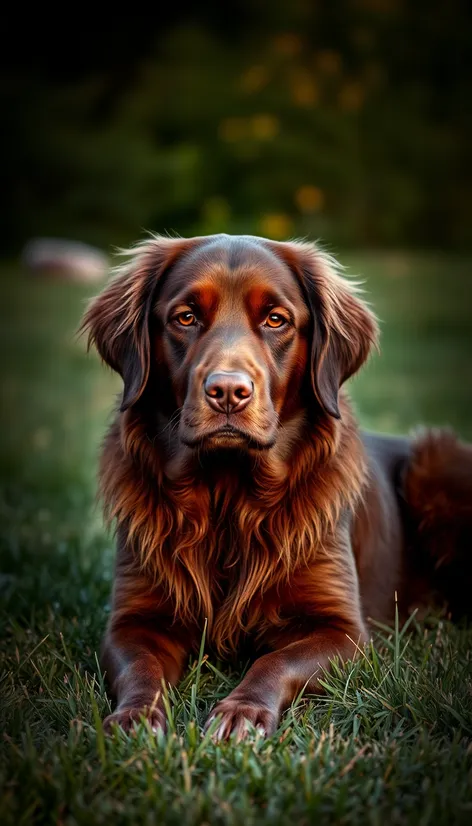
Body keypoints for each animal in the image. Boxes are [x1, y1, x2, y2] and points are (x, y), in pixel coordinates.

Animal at [82, 230, 472, 732]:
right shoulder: (132, 619)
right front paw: (135, 717)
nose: (228, 392)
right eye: (186, 317)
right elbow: (141, 667)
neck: (228, 496)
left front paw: (240, 713)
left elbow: (275, 661)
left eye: (275, 319)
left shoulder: (343, 629)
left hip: (435, 465)